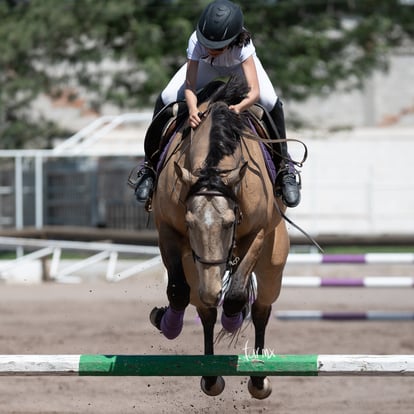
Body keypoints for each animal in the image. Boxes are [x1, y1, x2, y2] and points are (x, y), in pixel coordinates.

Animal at [150, 76, 290, 400]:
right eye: (190, 223)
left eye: (228, 224)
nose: (212, 289)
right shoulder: (169, 230)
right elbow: (178, 292)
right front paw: (168, 323)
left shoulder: (258, 232)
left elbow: (237, 295)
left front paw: (233, 318)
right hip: (195, 266)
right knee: (202, 308)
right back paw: (210, 376)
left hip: (272, 265)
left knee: (261, 308)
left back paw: (258, 379)